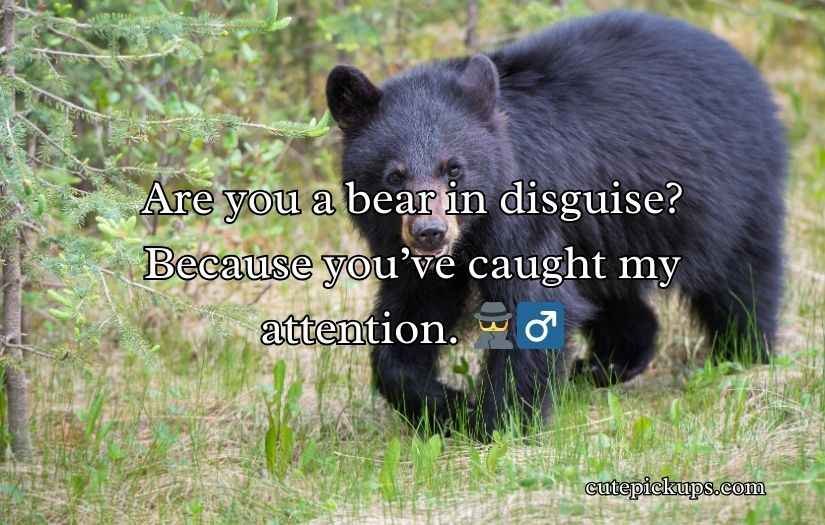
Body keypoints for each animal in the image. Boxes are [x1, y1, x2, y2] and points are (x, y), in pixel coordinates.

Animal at [325, 10, 787, 438]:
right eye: (394, 176)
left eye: (454, 168)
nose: (429, 232)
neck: (471, 231)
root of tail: (745, 67)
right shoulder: (407, 252)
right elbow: (410, 317)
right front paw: (446, 406)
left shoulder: (522, 219)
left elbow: (534, 303)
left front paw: (500, 421)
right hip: (609, 236)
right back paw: (607, 365)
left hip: (731, 193)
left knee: (741, 276)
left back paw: (744, 352)